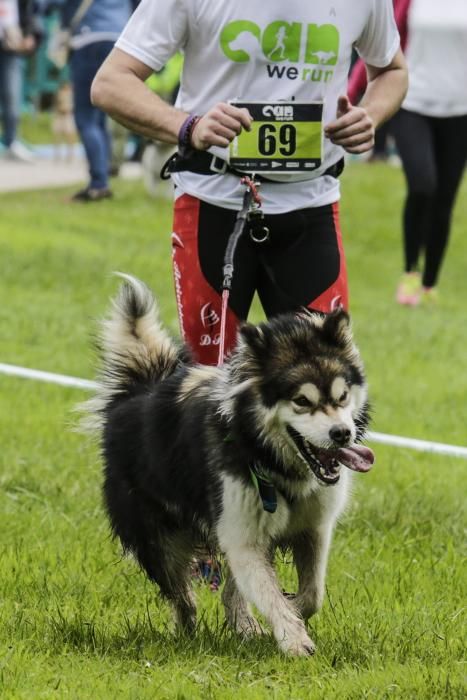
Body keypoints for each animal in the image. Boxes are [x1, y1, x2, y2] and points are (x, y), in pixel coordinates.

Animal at [86, 274, 374, 656]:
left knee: (227, 592)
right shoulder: (242, 536)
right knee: (182, 596)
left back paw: (244, 625)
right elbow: (268, 594)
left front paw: (292, 608)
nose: (342, 434)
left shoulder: (313, 527)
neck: (276, 462)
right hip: (159, 538)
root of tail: (140, 388)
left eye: (342, 397)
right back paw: (188, 632)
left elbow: (313, 593)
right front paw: (294, 640)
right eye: (301, 401)